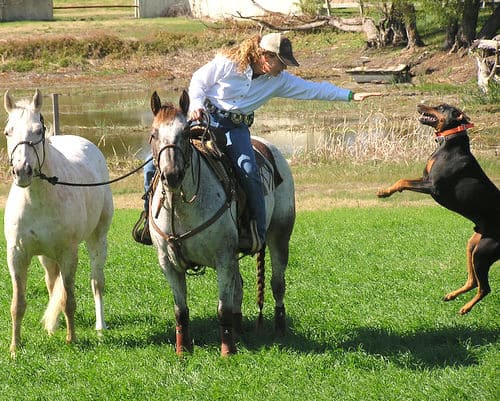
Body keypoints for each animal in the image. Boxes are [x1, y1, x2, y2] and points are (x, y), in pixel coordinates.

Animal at [3, 90, 114, 354]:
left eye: (38, 131)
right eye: (8, 132)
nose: (22, 171)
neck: (38, 199)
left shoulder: (68, 254)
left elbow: (69, 300)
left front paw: (71, 339)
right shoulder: (17, 255)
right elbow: (18, 304)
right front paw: (14, 348)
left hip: (97, 239)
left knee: (96, 282)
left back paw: (100, 326)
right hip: (46, 256)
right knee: (52, 283)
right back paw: (52, 327)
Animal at [146, 91, 294, 356]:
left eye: (185, 133)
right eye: (154, 134)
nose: (171, 175)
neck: (181, 209)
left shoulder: (222, 257)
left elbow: (222, 309)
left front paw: (228, 351)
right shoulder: (168, 264)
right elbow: (181, 311)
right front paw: (183, 350)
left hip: (280, 235)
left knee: (277, 284)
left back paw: (279, 329)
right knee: (239, 287)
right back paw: (239, 329)